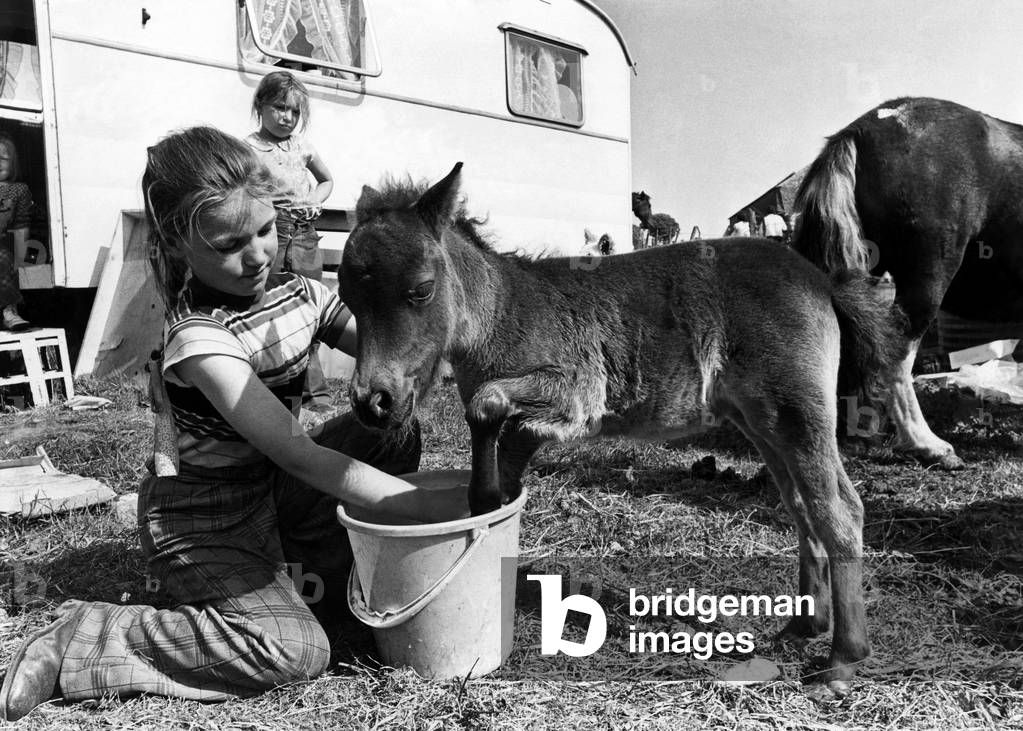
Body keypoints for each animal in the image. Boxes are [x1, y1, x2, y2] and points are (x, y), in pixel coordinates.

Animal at [340, 163, 906, 695]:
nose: (373, 402)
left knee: (839, 510)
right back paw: (804, 627)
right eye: (346, 296)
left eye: (421, 290)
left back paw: (842, 660)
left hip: (796, 410)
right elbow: (497, 450)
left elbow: (487, 405)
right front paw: (484, 506)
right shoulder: (527, 424)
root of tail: (822, 281)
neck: (501, 315)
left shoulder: (577, 390)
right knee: (803, 505)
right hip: (762, 421)